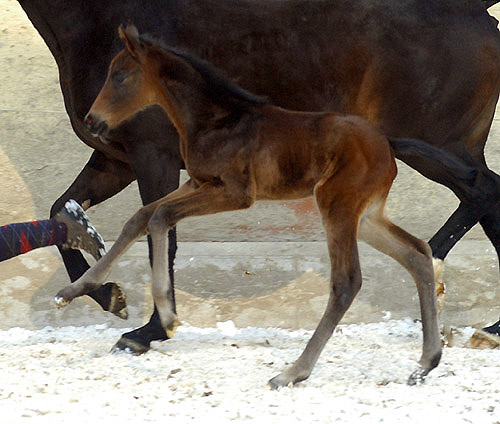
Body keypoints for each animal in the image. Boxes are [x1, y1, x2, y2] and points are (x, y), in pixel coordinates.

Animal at [55, 24, 442, 390]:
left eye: (120, 76)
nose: (92, 120)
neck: (215, 120)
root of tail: (387, 143)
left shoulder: (236, 193)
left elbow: (160, 217)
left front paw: (166, 318)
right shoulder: (198, 184)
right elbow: (140, 218)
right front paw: (74, 293)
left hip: (337, 206)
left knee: (347, 281)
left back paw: (292, 373)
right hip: (366, 216)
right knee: (418, 254)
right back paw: (425, 364)